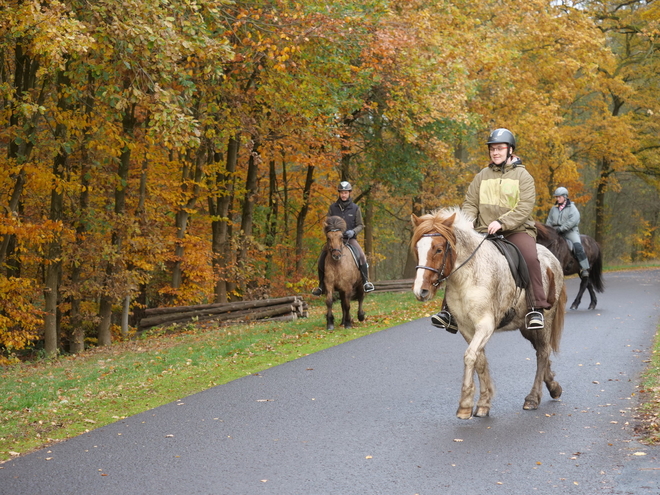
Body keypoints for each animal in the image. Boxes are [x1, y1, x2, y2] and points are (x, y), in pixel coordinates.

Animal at [410, 207, 564, 420]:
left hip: (544, 322)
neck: (468, 275)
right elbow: (479, 360)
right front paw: (483, 403)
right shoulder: (467, 328)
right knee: (542, 351)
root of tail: (552, 258)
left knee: (542, 352)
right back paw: (553, 387)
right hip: (525, 328)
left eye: (438, 249)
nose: (421, 291)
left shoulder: (485, 325)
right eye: (418, 249)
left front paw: (465, 405)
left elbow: (469, 357)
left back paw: (533, 398)